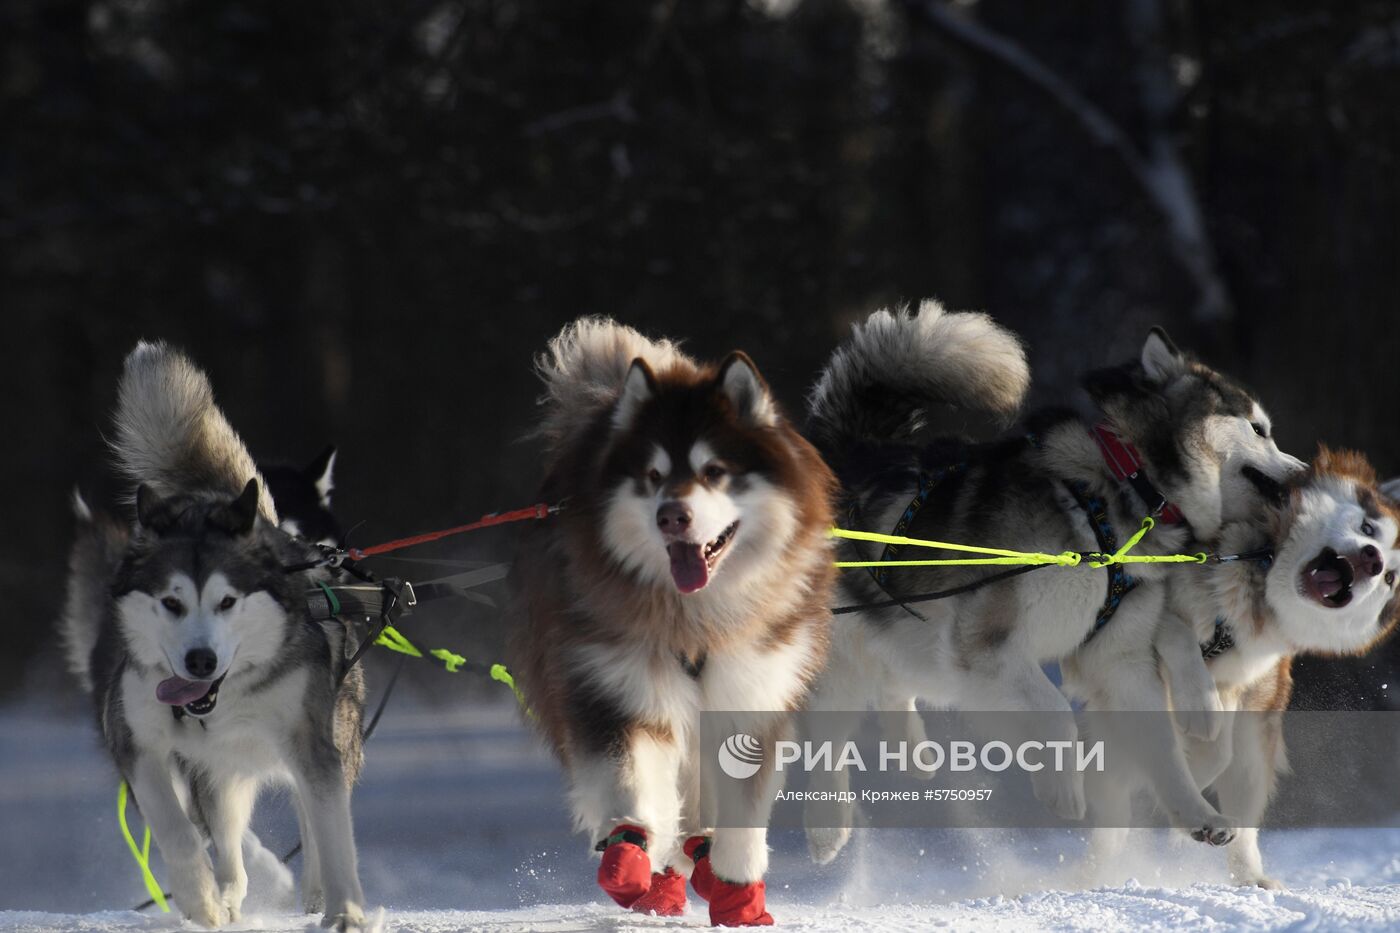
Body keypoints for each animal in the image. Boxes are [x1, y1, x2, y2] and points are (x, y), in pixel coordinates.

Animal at [60, 343, 369, 930]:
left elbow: (332, 834)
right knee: (226, 842)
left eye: (228, 601)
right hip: (218, 772)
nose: (199, 661)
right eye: (171, 602)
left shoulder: (313, 747)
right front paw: (201, 898)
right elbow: (179, 833)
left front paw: (345, 910)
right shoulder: (137, 742)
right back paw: (227, 893)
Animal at [515, 318, 840, 924]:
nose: (672, 516)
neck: (694, 621)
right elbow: (632, 788)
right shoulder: (616, 687)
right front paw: (631, 855)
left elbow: (741, 812)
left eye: (714, 471)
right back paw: (661, 875)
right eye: (653, 475)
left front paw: (738, 891)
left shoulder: (750, 692)